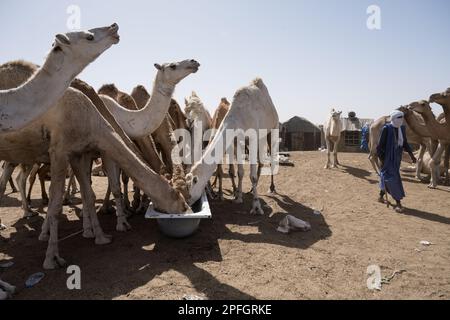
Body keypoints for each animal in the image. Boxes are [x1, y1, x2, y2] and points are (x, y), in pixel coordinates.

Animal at [0, 60, 191, 270]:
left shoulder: (82, 151)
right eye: (173, 66)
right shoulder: (75, 151)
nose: (194, 63)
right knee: (18, 179)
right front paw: (119, 220)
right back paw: (27, 217)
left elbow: (91, 192)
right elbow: (107, 187)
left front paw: (101, 228)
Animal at [185, 79, 278, 216]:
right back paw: (251, 189)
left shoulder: (252, 136)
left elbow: (252, 176)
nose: (188, 203)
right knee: (260, 161)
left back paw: (271, 188)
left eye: (191, 185)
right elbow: (240, 172)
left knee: (271, 159)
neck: (237, 117)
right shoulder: (238, 139)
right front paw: (238, 197)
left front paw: (256, 207)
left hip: (273, 128)